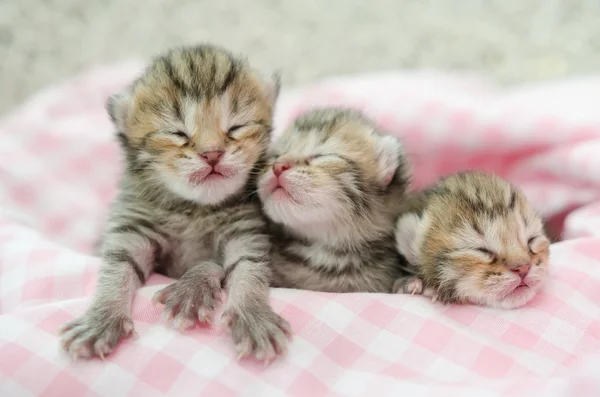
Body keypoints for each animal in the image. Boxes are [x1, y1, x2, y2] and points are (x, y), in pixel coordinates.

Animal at [58, 44, 290, 362]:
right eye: (177, 133)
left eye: (236, 127)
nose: (212, 154)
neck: (193, 208)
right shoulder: (132, 225)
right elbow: (117, 268)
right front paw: (100, 318)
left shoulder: (246, 231)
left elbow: (247, 268)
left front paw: (251, 315)